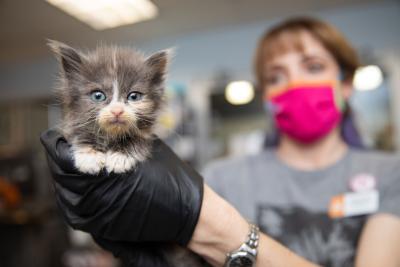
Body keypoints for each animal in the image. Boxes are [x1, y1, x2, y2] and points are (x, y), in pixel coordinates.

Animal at [49, 40, 209, 267]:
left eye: (133, 96)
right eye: (98, 95)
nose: (117, 110)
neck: (112, 137)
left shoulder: (148, 137)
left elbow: (139, 140)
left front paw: (120, 156)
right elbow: (79, 133)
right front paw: (89, 155)